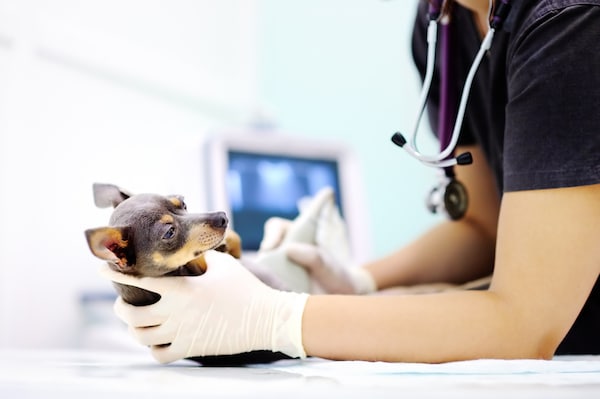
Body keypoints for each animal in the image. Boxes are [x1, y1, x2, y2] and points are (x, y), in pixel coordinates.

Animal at [84, 184, 288, 366]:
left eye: (183, 203)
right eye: (169, 232)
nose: (222, 217)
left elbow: (232, 240)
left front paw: (226, 241)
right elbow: (205, 255)